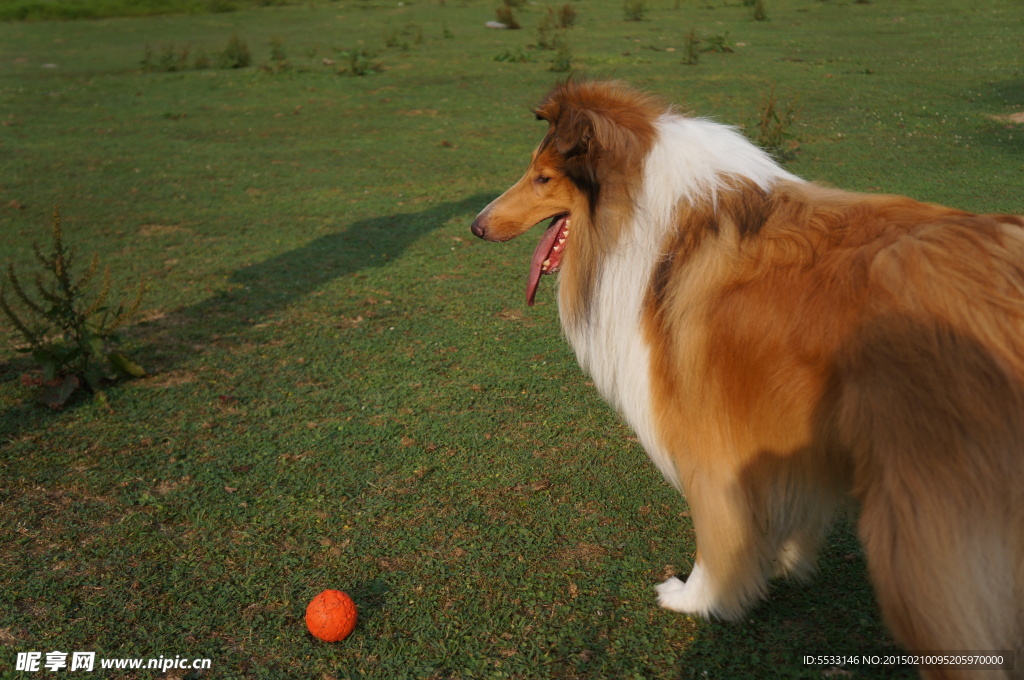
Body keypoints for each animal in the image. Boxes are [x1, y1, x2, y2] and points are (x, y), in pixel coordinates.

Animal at [471, 79, 1024, 675]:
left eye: (543, 177)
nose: (476, 225)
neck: (653, 222)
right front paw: (780, 557)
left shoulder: (709, 436)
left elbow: (717, 533)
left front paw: (698, 597)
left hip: (924, 536)